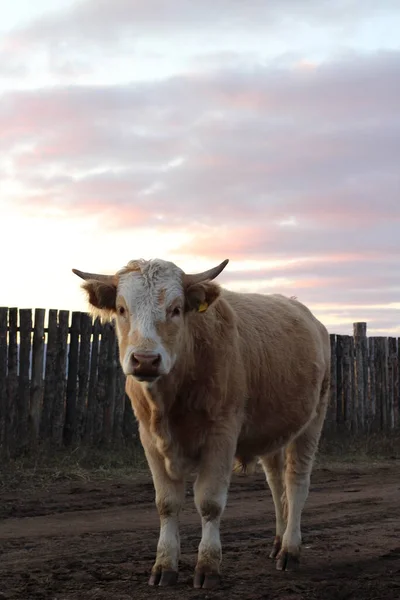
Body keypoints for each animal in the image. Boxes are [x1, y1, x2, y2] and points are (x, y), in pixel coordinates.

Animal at [73, 258, 330, 592]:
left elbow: (209, 502)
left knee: (296, 483)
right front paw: (164, 565)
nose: (145, 360)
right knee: (276, 484)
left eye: (176, 309)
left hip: (312, 422)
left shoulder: (221, 436)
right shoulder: (149, 439)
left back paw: (290, 550)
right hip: (273, 433)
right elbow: (166, 503)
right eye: (121, 308)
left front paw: (208, 566)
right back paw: (277, 542)